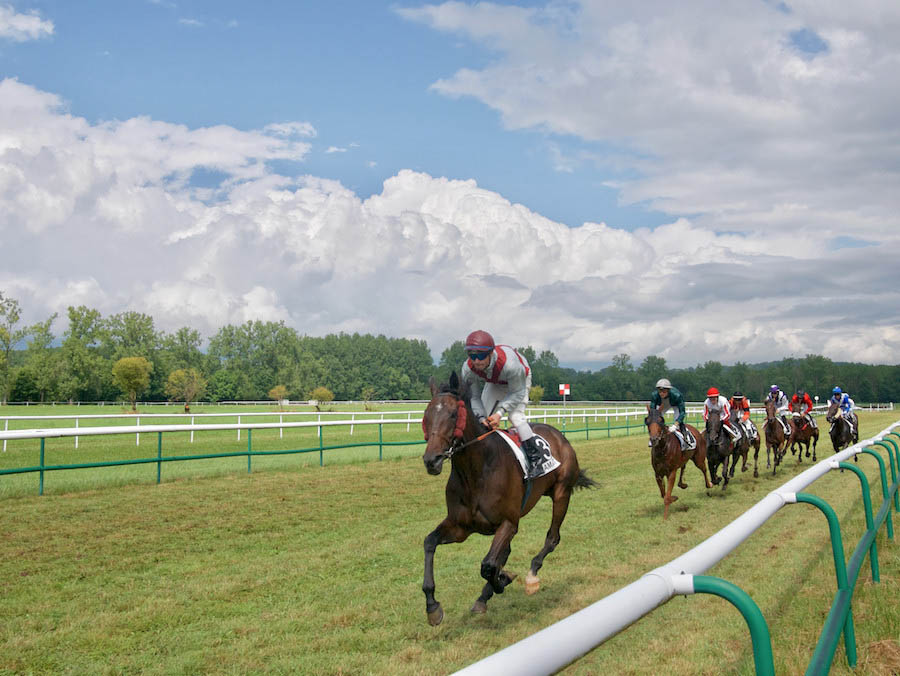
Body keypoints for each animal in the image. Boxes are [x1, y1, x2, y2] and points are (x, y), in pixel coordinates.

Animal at [420, 372, 596, 624]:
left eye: (453, 414)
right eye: (427, 415)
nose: (431, 460)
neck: (476, 472)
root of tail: (559, 436)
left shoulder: (508, 522)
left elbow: (488, 565)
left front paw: (503, 581)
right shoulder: (460, 527)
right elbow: (430, 542)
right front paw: (432, 606)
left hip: (562, 494)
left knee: (552, 538)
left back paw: (531, 575)